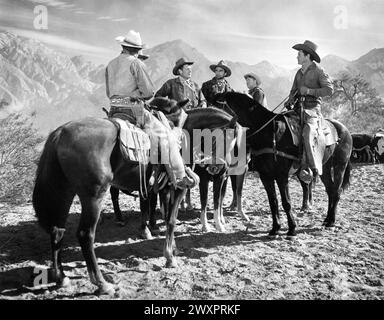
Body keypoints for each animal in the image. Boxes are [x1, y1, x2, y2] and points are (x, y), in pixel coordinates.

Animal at [32, 100, 237, 296]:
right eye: (226, 138)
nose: (220, 168)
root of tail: (61, 133)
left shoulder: (166, 189)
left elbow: (166, 217)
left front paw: (172, 249)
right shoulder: (178, 187)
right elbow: (171, 221)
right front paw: (170, 257)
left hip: (64, 191)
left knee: (57, 230)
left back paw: (61, 278)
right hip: (93, 196)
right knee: (85, 234)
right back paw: (102, 284)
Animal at [224, 91, 352, 236]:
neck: (269, 133)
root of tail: (344, 129)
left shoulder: (281, 176)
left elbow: (286, 202)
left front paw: (292, 229)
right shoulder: (265, 176)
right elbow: (273, 201)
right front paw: (275, 228)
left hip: (339, 166)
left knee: (335, 191)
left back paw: (329, 220)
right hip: (323, 168)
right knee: (328, 189)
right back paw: (325, 219)